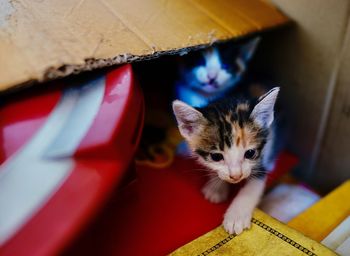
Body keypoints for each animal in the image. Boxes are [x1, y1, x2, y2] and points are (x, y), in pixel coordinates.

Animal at [172, 87, 278, 234]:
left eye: (250, 153)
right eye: (216, 157)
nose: (236, 176)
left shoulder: (260, 162)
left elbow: (253, 186)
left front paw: (236, 216)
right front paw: (216, 188)